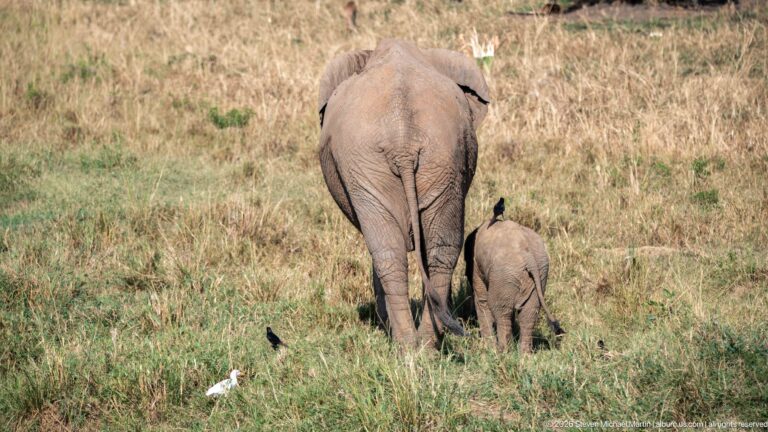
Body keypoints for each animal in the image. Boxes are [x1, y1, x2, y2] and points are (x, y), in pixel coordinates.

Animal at [318, 39, 490, 347]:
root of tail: (403, 142)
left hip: (387, 161)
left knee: (391, 252)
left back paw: (406, 344)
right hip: (439, 155)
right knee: (436, 250)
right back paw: (422, 346)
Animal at [464, 219, 565, 353]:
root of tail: (529, 256)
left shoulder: (477, 266)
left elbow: (482, 301)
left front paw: (488, 349)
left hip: (504, 272)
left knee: (501, 311)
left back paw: (503, 352)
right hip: (540, 271)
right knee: (529, 313)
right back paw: (524, 354)